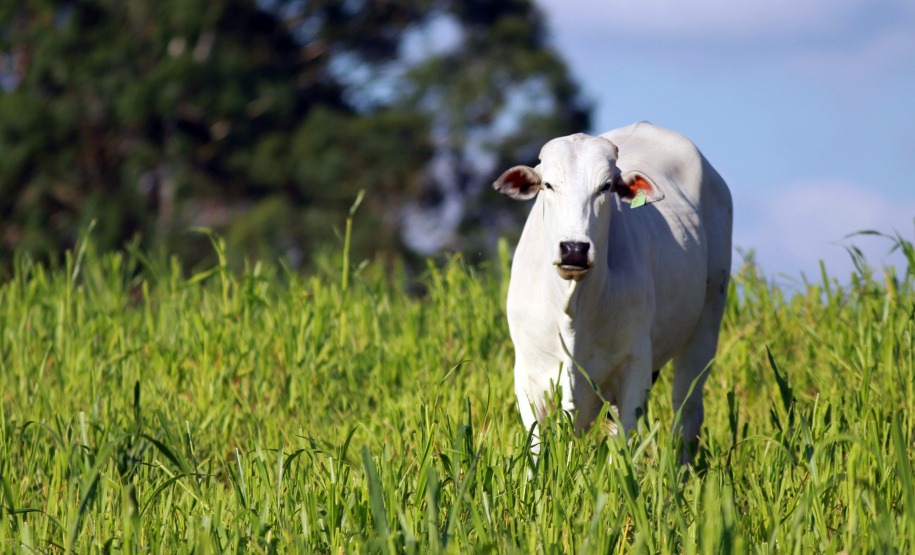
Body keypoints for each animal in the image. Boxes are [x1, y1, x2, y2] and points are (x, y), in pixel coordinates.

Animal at [494, 124, 728, 462]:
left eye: (605, 187)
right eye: (548, 185)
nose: (574, 249)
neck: (573, 307)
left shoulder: (635, 367)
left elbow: (626, 447)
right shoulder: (528, 375)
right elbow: (536, 449)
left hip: (708, 318)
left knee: (687, 411)